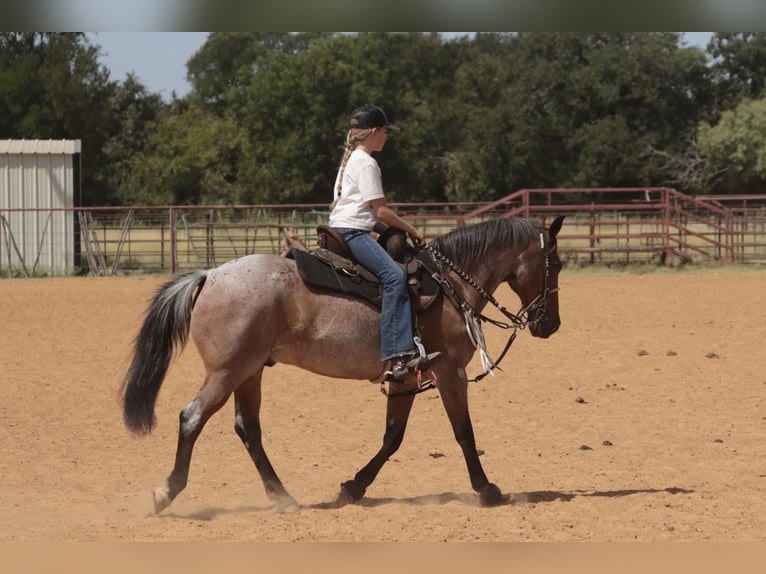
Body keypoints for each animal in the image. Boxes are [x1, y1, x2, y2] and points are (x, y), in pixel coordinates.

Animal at [121, 215, 565, 514]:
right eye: (557, 265)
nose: (551, 325)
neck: (448, 286)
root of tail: (210, 275)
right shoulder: (450, 373)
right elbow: (464, 434)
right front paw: (487, 489)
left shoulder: (405, 377)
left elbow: (392, 437)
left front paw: (354, 486)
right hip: (227, 372)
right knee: (192, 417)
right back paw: (165, 493)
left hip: (249, 372)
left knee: (248, 429)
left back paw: (282, 496)